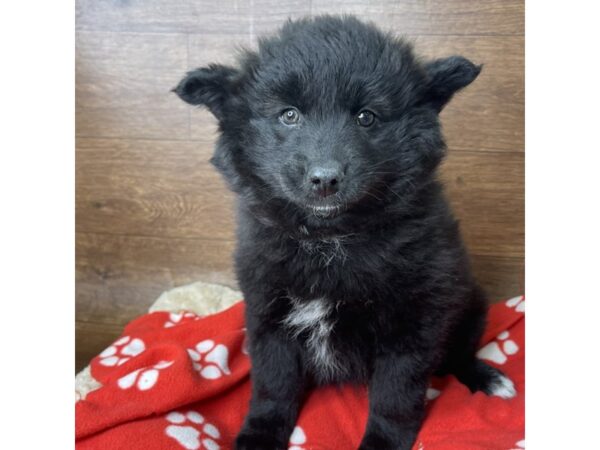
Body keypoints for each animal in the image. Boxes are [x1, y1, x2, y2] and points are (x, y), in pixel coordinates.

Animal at [175, 14, 516, 450]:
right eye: (289, 115)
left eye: (366, 117)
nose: (325, 179)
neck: (329, 240)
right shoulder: (267, 313)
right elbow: (273, 384)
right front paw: (260, 433)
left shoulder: (412, 321)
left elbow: (395, 394)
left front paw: (382, 443)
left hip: (469, 305)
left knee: (457, 355)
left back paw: (488, 378)